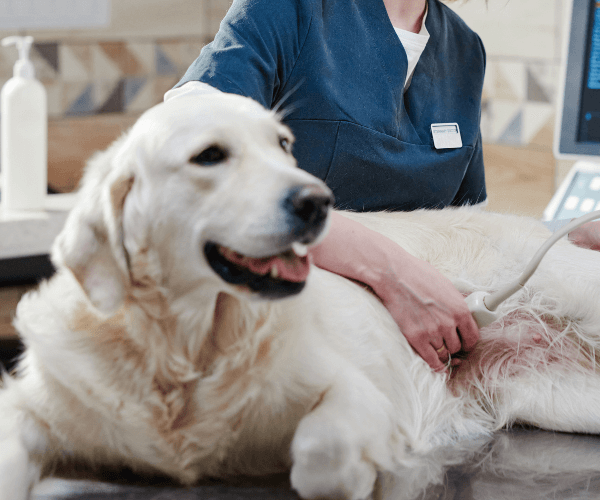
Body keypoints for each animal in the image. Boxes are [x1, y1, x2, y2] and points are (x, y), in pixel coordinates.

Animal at [3, 94, 600, 500]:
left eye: (283, 145)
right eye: (209, 155)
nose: (318, 201)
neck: (184, 350)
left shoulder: (356, 392)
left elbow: (320, 454)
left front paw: (361, 470)